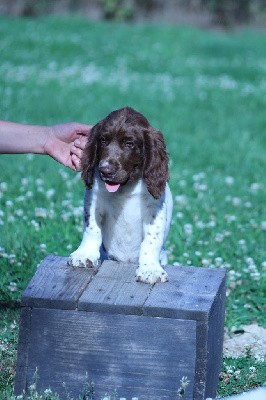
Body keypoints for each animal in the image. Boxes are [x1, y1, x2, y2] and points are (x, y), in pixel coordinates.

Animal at [68, 104, 172, 282]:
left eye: (129, 143)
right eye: (103, 140)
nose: (105, 170)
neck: (125, 189)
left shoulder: (154, 208)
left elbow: (152, 239)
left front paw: (150, 269)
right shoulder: (93, 201)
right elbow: (92, 228)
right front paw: (84, 254)